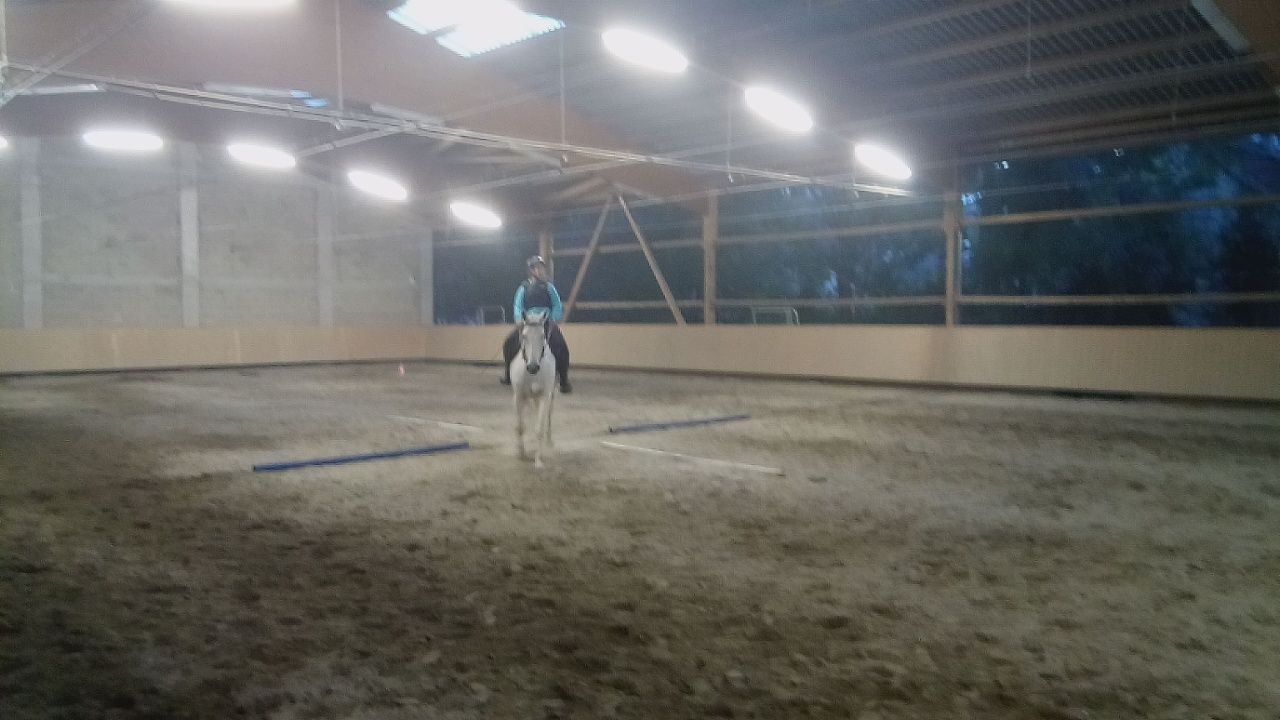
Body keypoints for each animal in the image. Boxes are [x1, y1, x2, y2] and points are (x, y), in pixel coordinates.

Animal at [511, 309, 557, 468]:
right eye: (524, 335)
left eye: (542, 335)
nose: (532, 367)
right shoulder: (519, 396)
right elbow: (519, 426)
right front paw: (521, 454)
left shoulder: (544, 396)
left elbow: (539, 429)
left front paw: (538, 461)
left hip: (548, 397)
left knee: (547, 417)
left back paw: (549, 442)